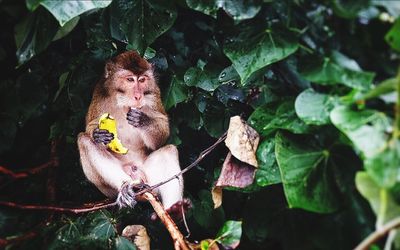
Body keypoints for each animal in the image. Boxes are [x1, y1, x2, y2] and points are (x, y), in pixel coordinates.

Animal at [78, 50, 191, 219]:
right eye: (130, 79)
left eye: (142, 80)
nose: (138, 96)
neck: (124, 102)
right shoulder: (100, 92)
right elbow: (90, 125)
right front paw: (98, 135)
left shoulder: (153, 92)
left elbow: (162, 125)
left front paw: (143, 121)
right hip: (108, 190)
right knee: (83, 140)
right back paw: (126, 187)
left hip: (152, 182)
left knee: (168, 151)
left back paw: (174, 209)